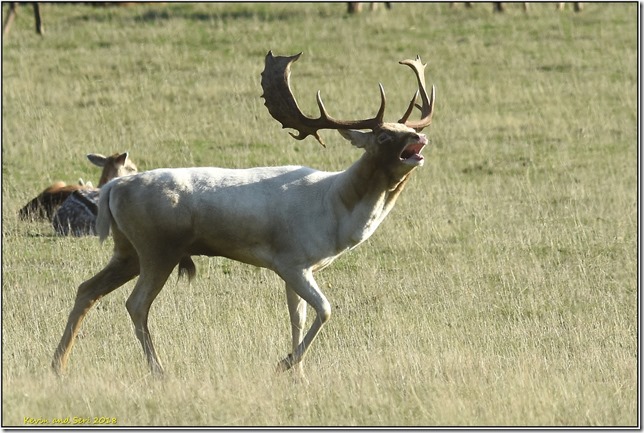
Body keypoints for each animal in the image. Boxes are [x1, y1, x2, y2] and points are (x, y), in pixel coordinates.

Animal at [52, 52, 436, 378]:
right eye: (383, 135)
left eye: (410, 129)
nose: (418, 138)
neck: (334, 211)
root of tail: (115, 187)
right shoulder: (291, 260)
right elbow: (325, 309)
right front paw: (284, 364)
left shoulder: (302, 268)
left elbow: (297, 317)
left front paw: (299, 374)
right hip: (157, 248)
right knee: (135, 304)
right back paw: (158, 370)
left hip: (127, 250)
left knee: (87, 289)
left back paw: (57, 364)